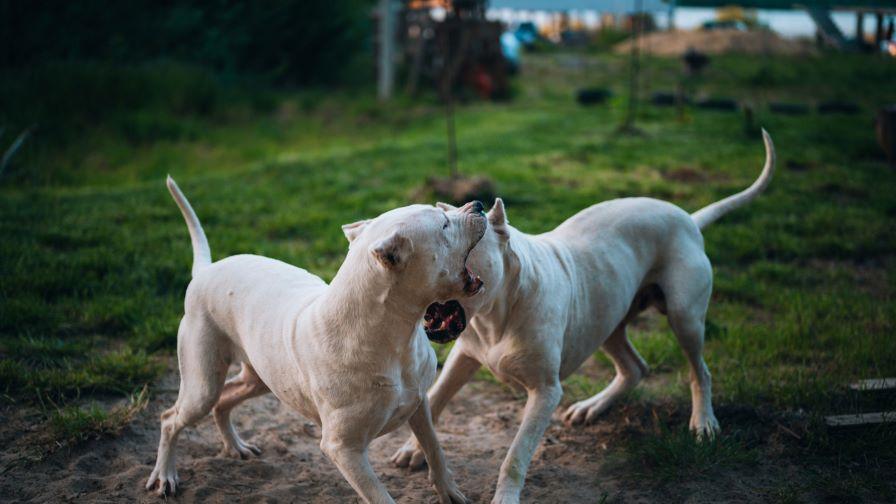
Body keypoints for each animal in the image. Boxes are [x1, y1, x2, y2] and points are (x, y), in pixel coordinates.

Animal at [394, 132, 776, 502]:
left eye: (462, 241)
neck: (496, 312)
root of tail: (688, 218)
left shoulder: (545, 392)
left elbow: (515, 456)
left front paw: (504, 496)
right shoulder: (465, 354)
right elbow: (438, 395)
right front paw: (414, 449)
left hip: (684, 317)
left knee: (700, 372)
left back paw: (703, 423)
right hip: (607, 318)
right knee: (635, 367)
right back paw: (591, 408)